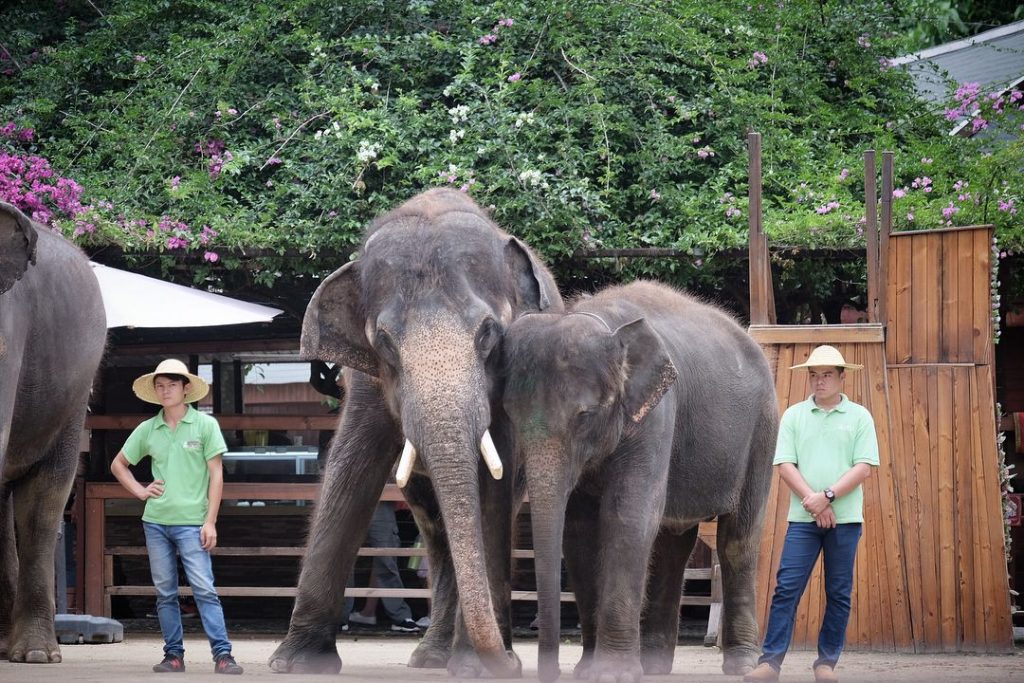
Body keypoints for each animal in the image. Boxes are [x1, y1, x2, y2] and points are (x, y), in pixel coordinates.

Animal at [268, 188, 565, 679]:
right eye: (386, 342)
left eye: (489, 333)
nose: (510, 663)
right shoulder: (365, 380)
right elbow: (350, 467)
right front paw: (294, 664)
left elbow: (493, 484)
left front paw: (480, 668)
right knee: (435, 528)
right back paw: (432, 658)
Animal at [501, 280, 774, 679]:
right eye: (508, 413)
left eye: (585, 415)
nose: (549, 673)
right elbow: (579, 530)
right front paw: (587, 670)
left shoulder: (657, 413)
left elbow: (628, 515)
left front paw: (611, 674)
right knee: (673, 542)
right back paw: (656, 665)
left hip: (763, 428)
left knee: (738, 538)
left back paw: (741, 665)